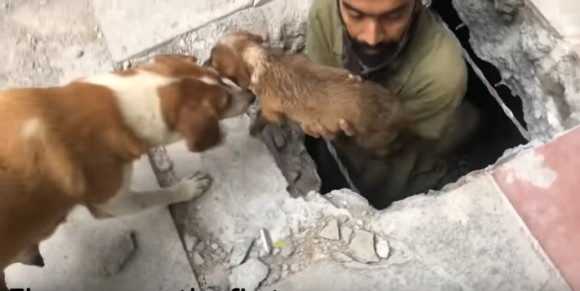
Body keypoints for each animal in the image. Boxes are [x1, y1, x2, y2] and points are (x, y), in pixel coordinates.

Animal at [0, 54, 254, 278]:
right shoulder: (113, 202)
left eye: (220, 77)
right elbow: (156, 196)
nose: (251, 95)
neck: (121, 108)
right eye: (224, 103)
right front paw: (187, 189)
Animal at [205, 30, 408, 157]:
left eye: (214, 62)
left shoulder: (271, 110)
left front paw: (254, 128)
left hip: (371, 140)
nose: (203, 63)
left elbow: (262, 117)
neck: (263, 59)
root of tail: (396, 108)